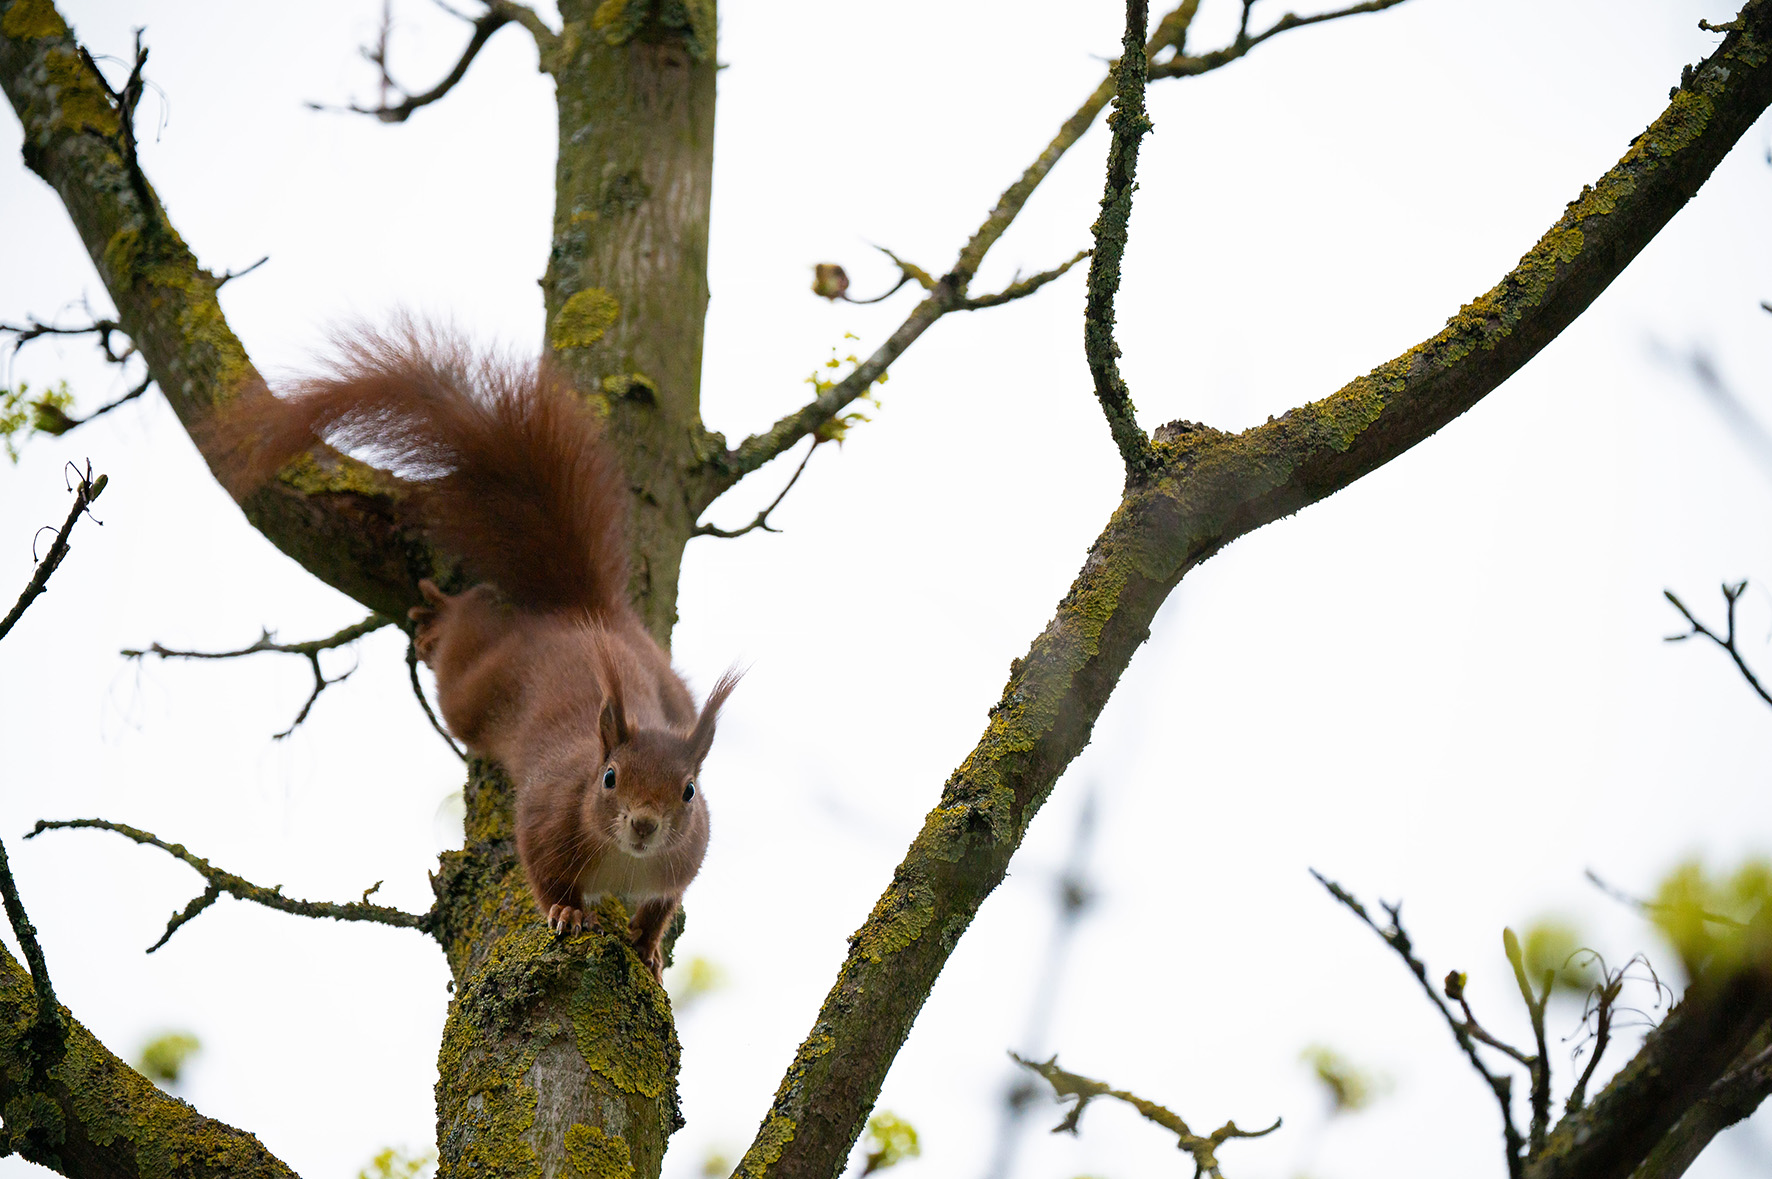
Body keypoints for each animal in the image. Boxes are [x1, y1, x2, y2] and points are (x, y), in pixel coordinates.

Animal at [215, 323, 737, 979]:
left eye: (690, 791)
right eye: (610, 777)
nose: (644, 825)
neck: (626, 859)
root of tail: (577, 611)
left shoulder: (686, 858)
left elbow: (662, 906)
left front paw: (647, 945)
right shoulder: (544, 815)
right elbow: (541, 872)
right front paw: (567, 912)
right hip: (474, 685)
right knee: (459, 656)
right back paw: (440, 620)